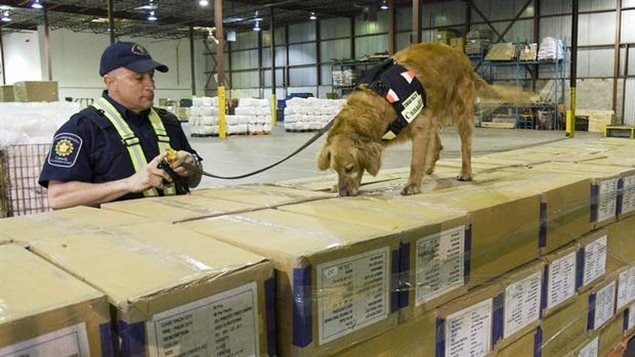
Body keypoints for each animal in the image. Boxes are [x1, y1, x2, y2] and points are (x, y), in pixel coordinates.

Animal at [320, 43, 524, 197]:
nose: (344, 193)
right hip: (433, 114)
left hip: (460, 114)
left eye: (350, 168)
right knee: (437, 146)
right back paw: (428, 170)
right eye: (335, 170)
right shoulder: (424, 124)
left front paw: (412, 185)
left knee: (465, 147)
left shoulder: (420, 125)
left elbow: (415, 161)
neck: (381, 99)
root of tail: (464, 61)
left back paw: (465, 173)